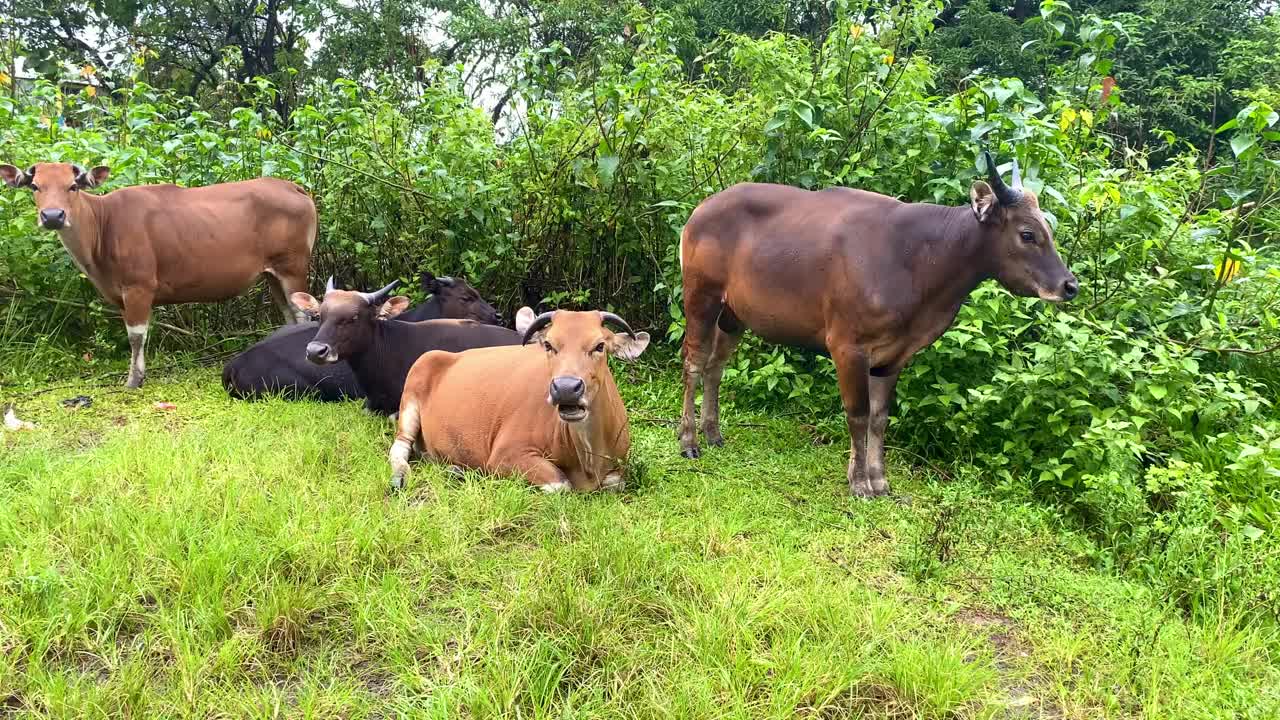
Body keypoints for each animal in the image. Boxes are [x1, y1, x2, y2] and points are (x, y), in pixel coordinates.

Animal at [0, 161, 317, 386]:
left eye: (72, 187)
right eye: (35, 186)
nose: (53, 216)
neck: (103, 224)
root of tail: (293, 187)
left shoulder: (139, 287)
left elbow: (136, 335)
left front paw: (134, 379)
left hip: (292, 268)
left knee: (302, 314)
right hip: (273, 274)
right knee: (289, 314)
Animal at [386, 308, 650, 491]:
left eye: (600, 345)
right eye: (549, 345)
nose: (566, 388)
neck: (587, 456)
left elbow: (615, 483)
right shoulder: (505, 455)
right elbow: (560, 483)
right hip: (414, 383)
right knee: (400, 445)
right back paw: (401, 475)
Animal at [680, 151, 1080, 497]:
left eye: (1049, 228)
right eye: (1027, 233)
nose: (1069, 286)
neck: (920, 259)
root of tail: (699, 210)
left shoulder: (894, 357)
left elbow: (879, 418)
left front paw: (880, 480)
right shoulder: (847, 347)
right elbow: (857, 414)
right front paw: (859, 483)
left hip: (734, 316)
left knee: (716, 366)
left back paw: (713, 434)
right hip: (701, 298)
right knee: (694, 362)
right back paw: (689, 441)